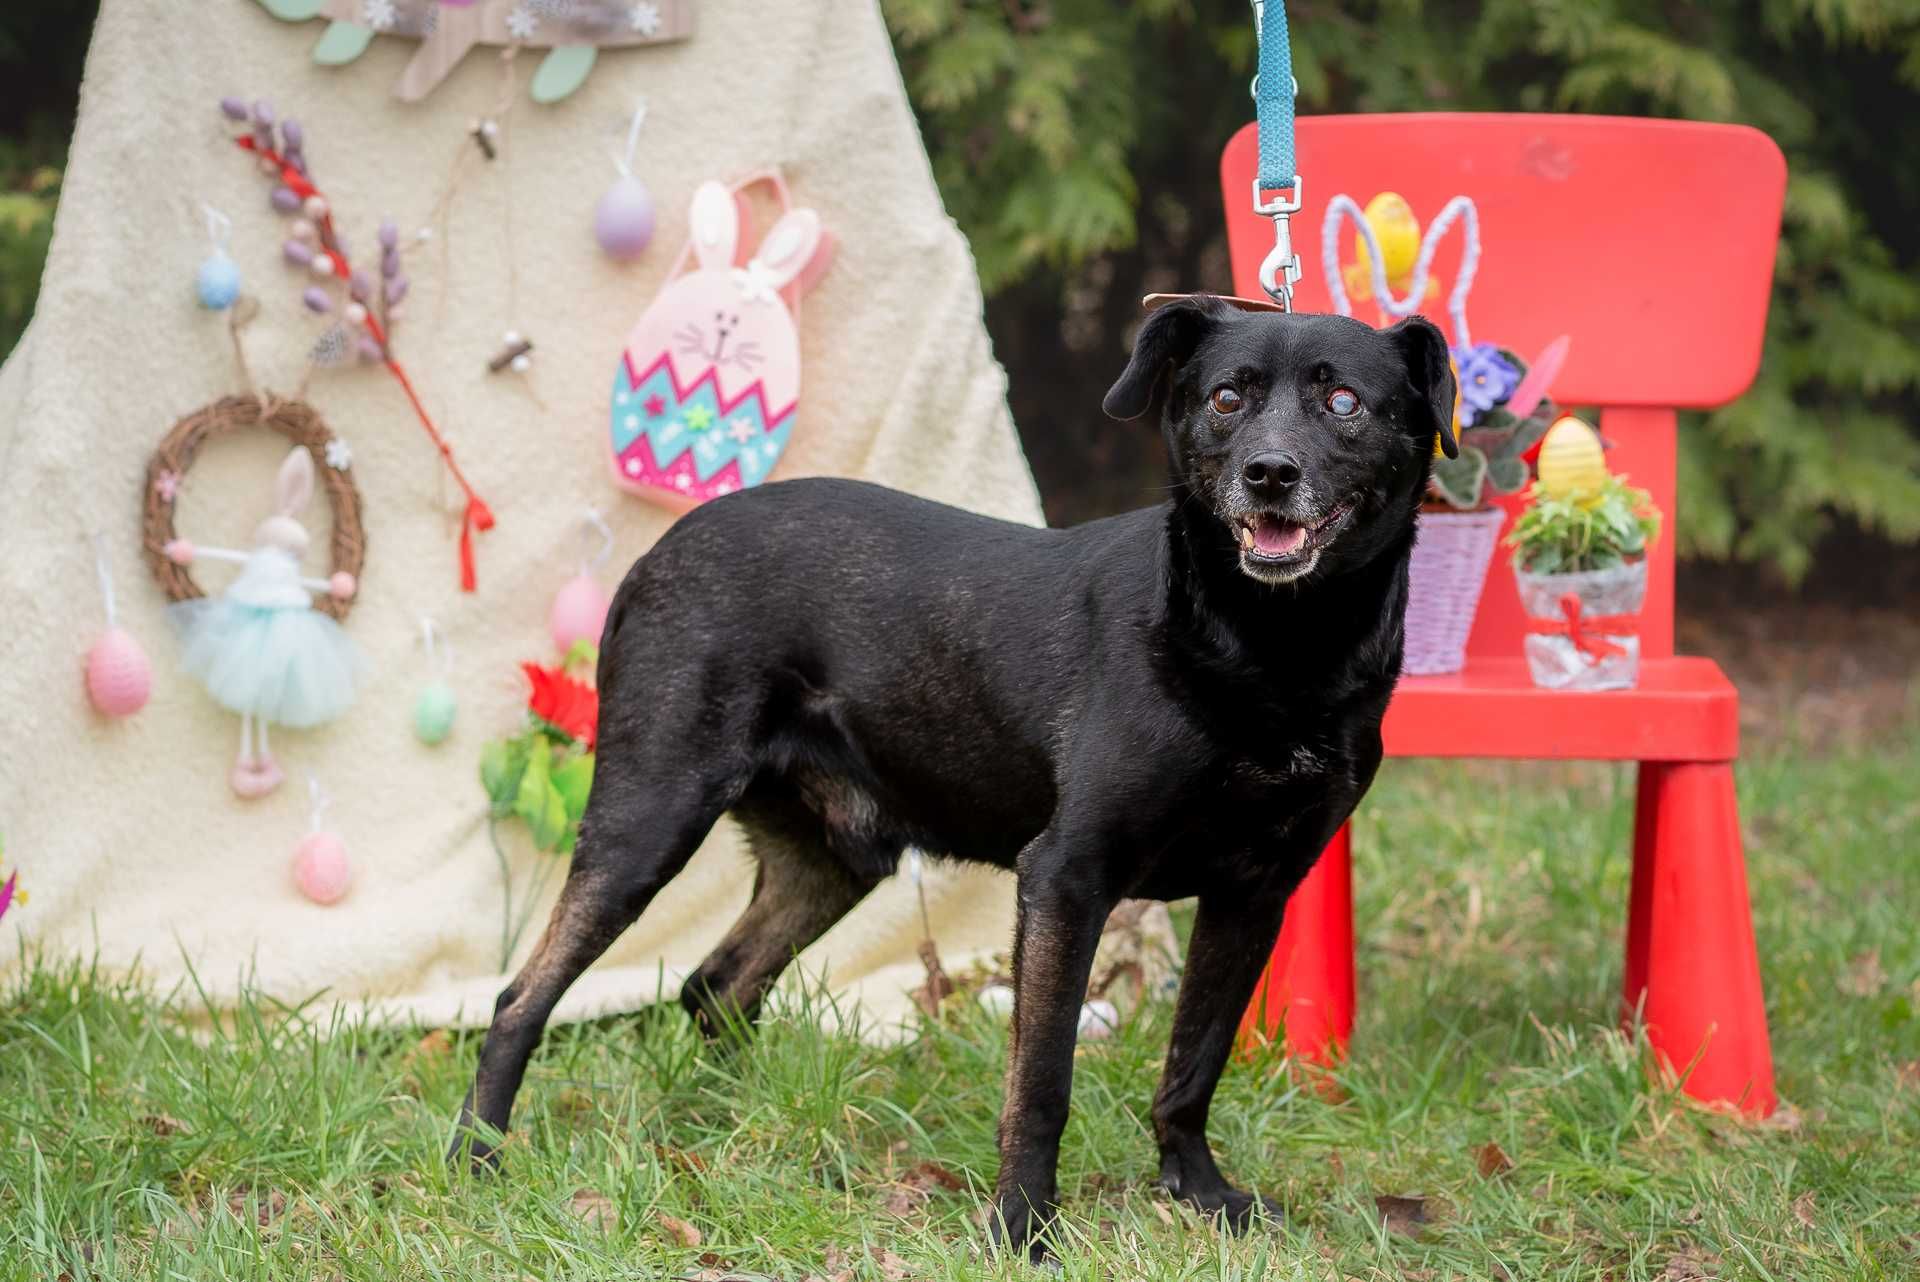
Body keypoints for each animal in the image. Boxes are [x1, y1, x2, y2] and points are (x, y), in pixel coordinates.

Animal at [453, 295, 1451, 1258]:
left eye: (1343, 401)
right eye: (1227, 398)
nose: (1270, 474)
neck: (1271, 651)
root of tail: (656, 553)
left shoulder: (1255, 894)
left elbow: (1192, 1065)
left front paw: (1200, 1197)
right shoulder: (1066, 878)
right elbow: (1041, 1080)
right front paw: (1023, 1229)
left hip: (833, 861)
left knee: (716, 985)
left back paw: (729, 1131)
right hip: (649, 818)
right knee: (520, 998)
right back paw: (479, 1159)